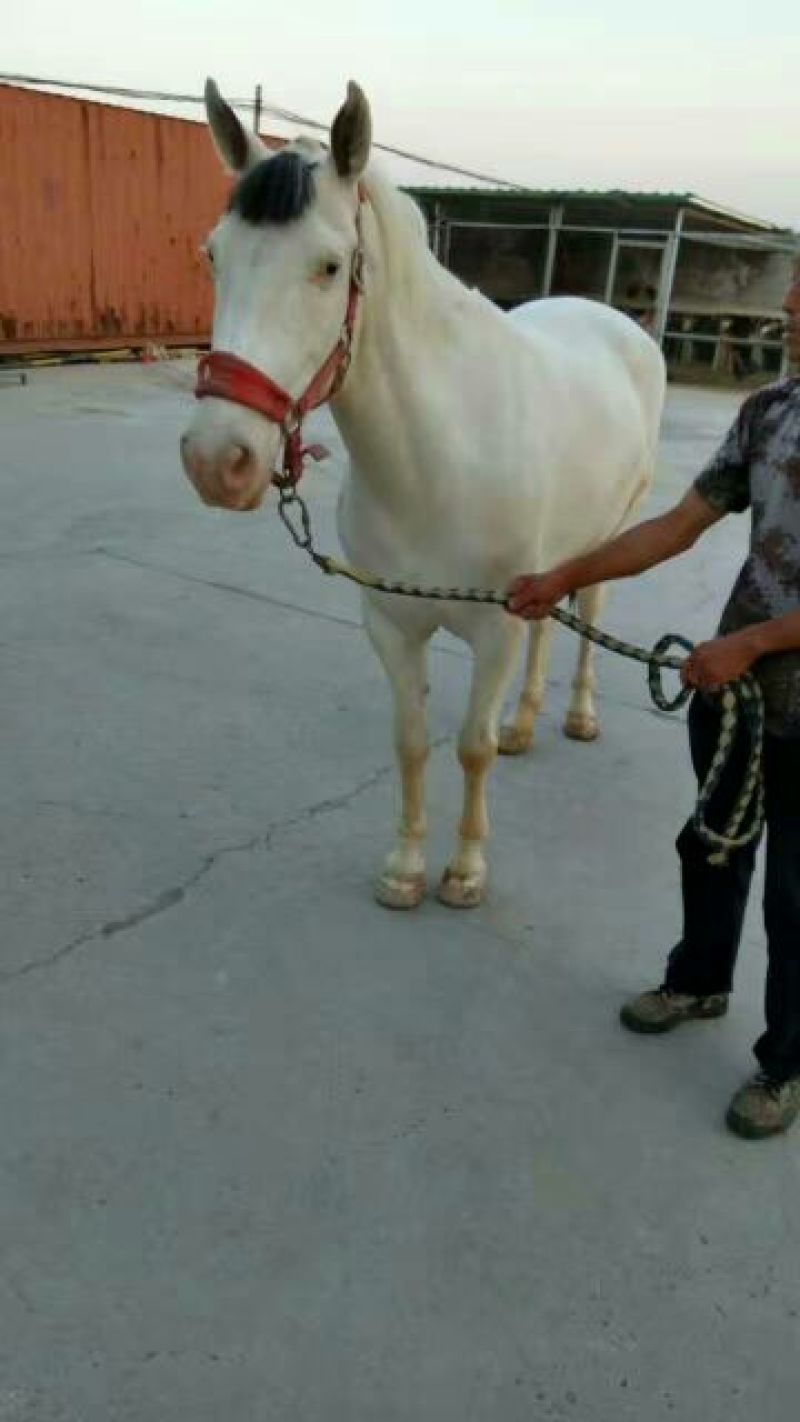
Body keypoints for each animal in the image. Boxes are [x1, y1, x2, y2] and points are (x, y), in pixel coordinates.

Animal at [181, 79, 666, 911]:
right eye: (215, 255)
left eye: (330, 266)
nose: (219, 459)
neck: (437, 460)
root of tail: (616, 323)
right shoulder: (389, 620)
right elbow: (410, 742)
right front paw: (406, 867)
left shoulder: (495, 627)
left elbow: (470, 747)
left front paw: (466, 871)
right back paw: (527, 724)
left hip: (614, 532)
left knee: (591, 616)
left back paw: (577, 716)